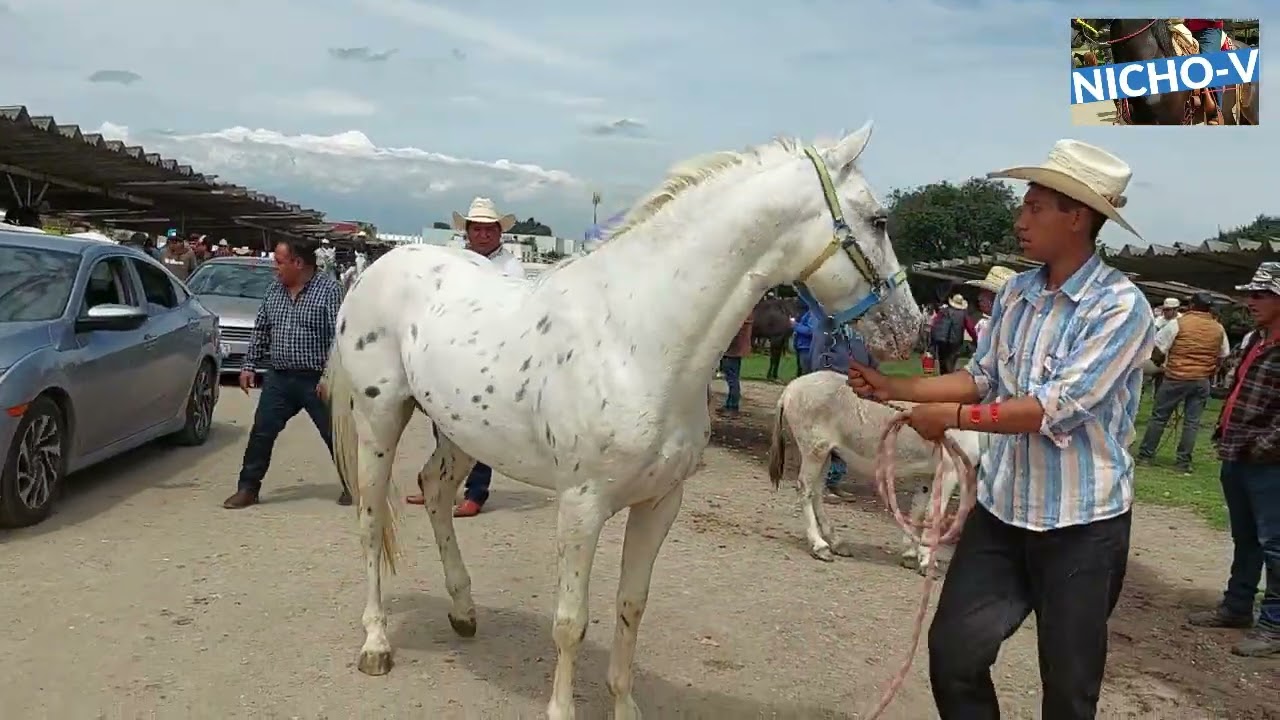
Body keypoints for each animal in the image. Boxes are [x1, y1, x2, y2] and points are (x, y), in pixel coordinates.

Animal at [323, 123, 923, 719]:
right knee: (371, 522)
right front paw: (561, 709)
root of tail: (377, 269)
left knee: (436, 491)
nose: (910, 329)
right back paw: (376, 643)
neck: (637, 338)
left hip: (461, 431)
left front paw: (624, 704)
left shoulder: (659, 504)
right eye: (879, 220)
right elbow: (571, 622)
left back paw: (464, 610)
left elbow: (631, 606)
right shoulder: (581, 507)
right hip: (379, 420)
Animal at [767, 371, 983, 574]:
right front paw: (926, 562)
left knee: (817, 493)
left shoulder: (927, 474)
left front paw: (910, 555)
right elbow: (932, 515)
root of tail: (791, 387)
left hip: (826, 453)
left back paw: (836, 543)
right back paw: (819, 546)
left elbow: (918, 512)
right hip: (814, 450)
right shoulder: (950, 471)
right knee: (805, 491)